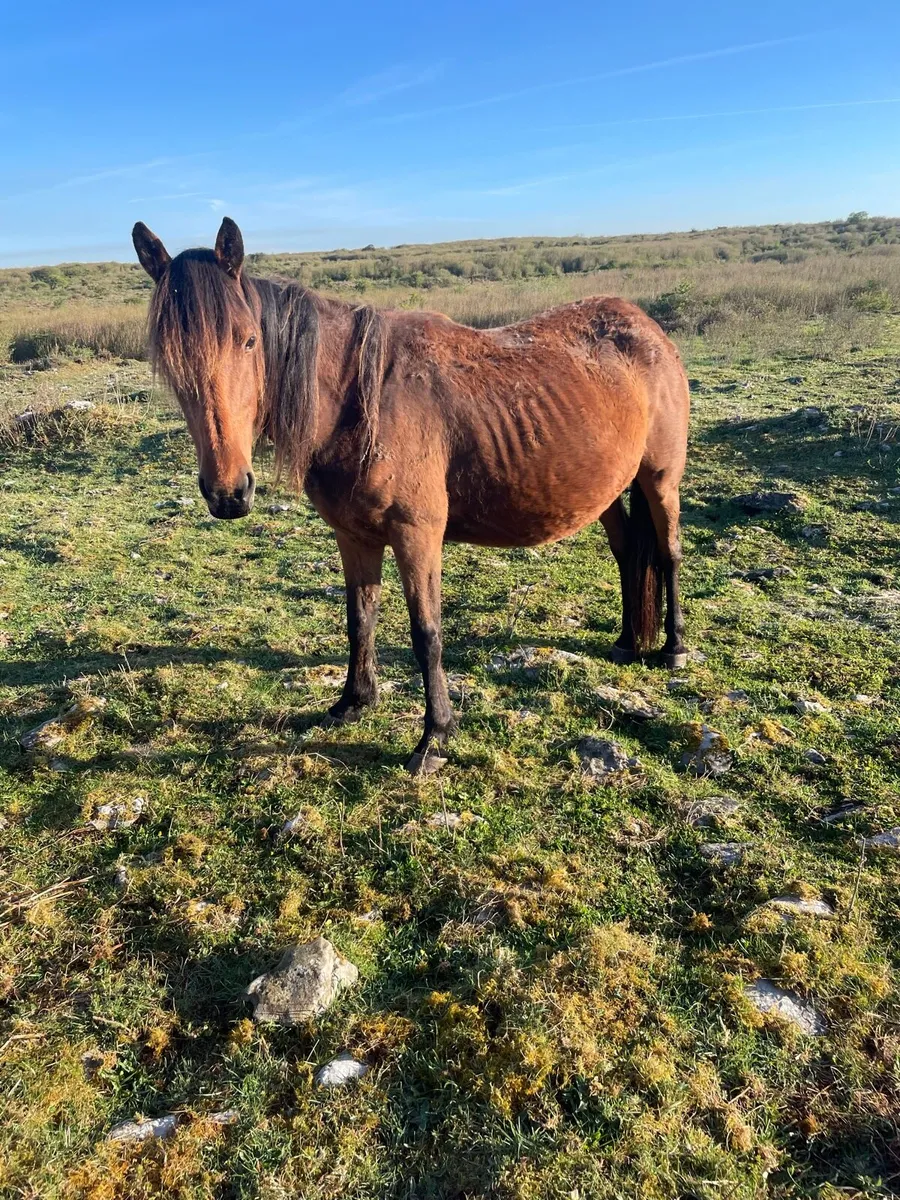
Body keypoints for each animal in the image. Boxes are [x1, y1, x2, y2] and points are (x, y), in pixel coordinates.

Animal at [133, 218, 690, 772]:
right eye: (168, 360)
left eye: (249, 341)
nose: (229, 493)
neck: (360, 403)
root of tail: (646, 326)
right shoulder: (354, 537)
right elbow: (360, 620)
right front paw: (354, 702)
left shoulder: (416, 536)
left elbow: (427, 634)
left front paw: (434, 736)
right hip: (608, 491)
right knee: (627, 554)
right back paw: (625, 642)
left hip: (659, 479)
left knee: (667, 554)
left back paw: (674, 647)